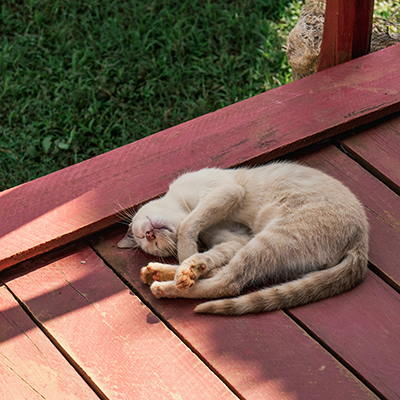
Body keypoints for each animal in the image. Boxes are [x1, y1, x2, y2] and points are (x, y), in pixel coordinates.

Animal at [118, 161, 368, 314]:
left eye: (145, 237)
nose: (150, 234)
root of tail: (361, 241)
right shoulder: (234, 238)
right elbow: (206, 252)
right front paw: (188, 264)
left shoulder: (227, 192)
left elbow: (186, 230)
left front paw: (185, 258)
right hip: (266, 245)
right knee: (225, 277)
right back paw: (160, 274)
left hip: (271, 238)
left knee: (227, 283)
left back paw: (167, 282)